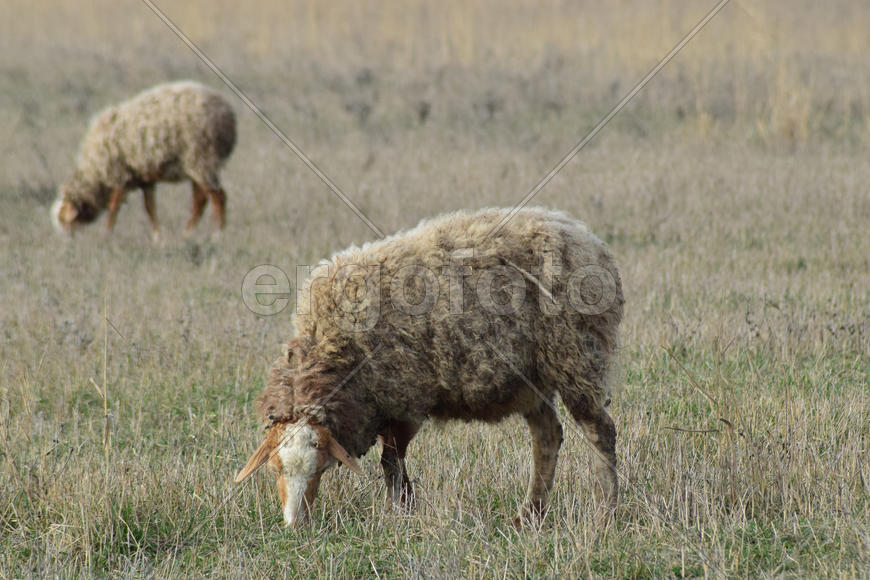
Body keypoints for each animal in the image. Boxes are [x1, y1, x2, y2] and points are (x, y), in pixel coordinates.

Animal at [52, 81, 236, 241]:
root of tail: (228, 114)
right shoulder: (145, 179)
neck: (97, 173)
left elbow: (113, 208)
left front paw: (107, 235)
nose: (69, 243)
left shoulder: (120, 176)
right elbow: (149, 208)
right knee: (200, 200)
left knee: (218, 197)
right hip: (195, 165)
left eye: (67, 222)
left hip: (202, 160)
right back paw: (189, 233)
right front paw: (157, 237)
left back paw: (217, 234)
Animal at [236, 207, 624, 527]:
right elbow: (392, 461)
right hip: (533, 377)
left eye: (320, 467)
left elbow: (391, 461)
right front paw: (403, 508)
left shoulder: (407, 396)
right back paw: (529, 516)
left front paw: (402, 511)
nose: (294, 525)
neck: (335, 351)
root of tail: (589, 240)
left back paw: (604, 514)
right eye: (275, 468)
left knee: (599, 433)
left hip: (577, 355)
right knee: (547, 437)